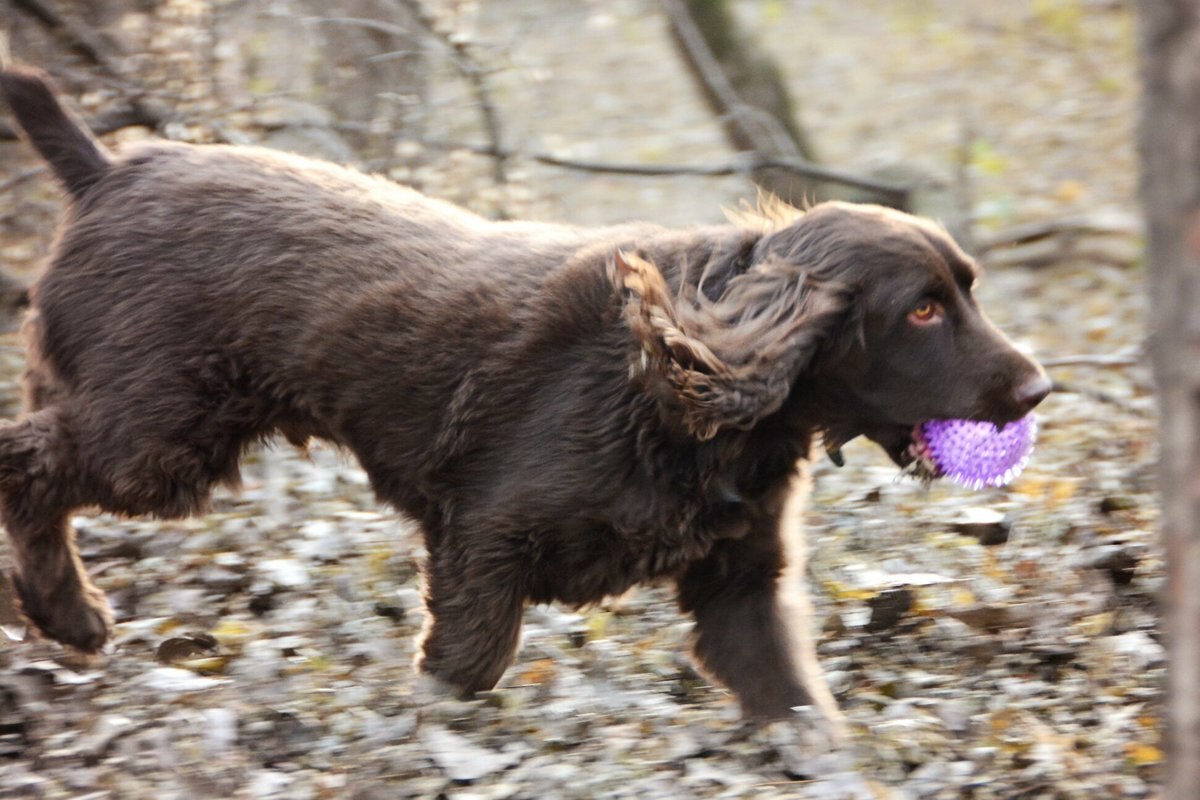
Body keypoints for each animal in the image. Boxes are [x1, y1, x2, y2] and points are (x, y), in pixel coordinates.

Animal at [0, 68, 1046, 724]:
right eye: (921, 311)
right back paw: (68, 614)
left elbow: (798, 708)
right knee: (26, 465)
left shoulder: (741, 582)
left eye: (968, 289)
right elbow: (465, 669)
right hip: (158, 441)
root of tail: (108, 168)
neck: (692, 402)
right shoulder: (486, 539)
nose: (1039, 389)